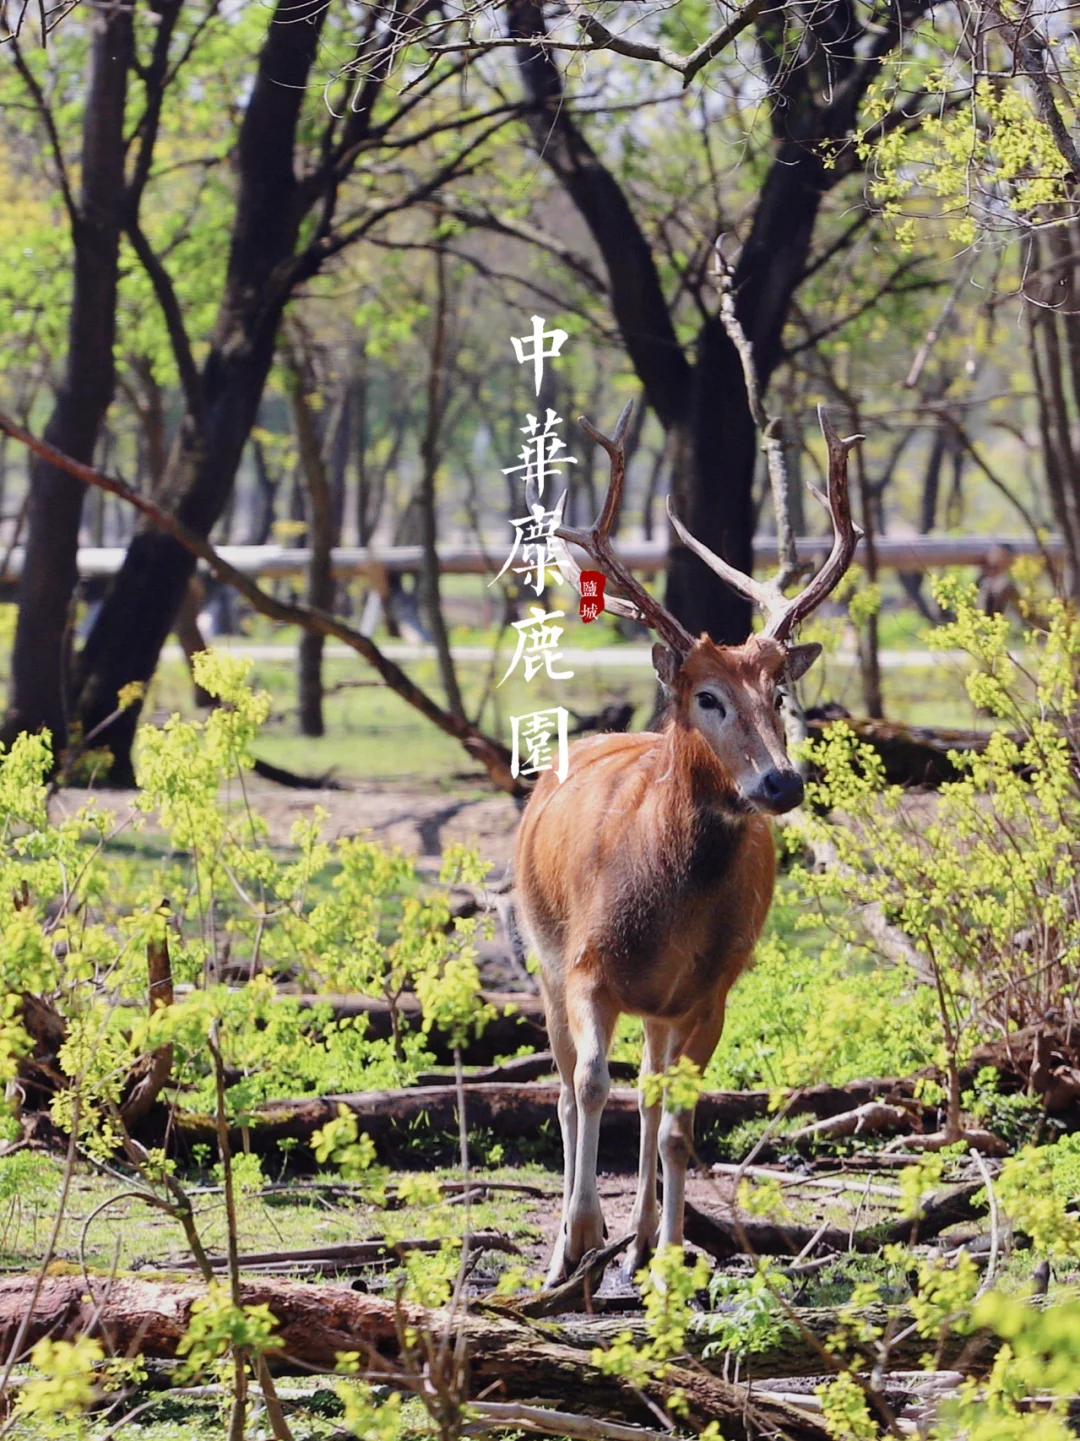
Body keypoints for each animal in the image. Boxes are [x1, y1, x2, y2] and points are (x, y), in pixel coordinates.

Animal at [513, 403, 859, 1285]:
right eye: (707, 697)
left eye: (780, 690)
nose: (781, 783)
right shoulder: (588, 964)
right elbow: (590, 1087)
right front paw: (578, 1237)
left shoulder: (711, 989)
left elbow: (676, 1123)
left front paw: (668, 1258)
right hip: (541, 949)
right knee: (566, 1087)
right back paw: (575, 1246)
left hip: (661, 1007)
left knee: (650, 1092)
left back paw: (639, 1240)